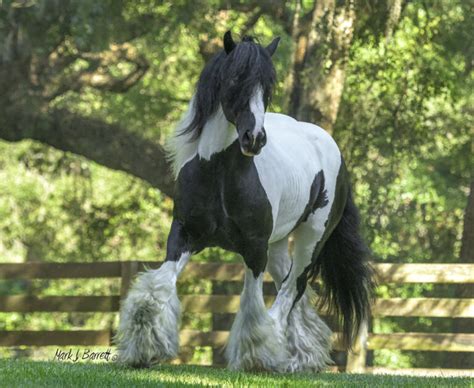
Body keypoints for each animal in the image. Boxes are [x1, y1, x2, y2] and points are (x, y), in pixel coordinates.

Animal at [115, 31, 374, 372]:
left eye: (268, 86)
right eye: (235, 79)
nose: (255, 139)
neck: (219, 174)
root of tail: (332, 148)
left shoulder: (254, 248)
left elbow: (253, 304)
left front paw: (257, 356)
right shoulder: (184, 234)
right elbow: (159, 287)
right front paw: (145, 347)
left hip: (311, 239)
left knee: (291, 290)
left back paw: (281, 354)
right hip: (278, 245)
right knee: (295, 291)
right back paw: (302, 358)